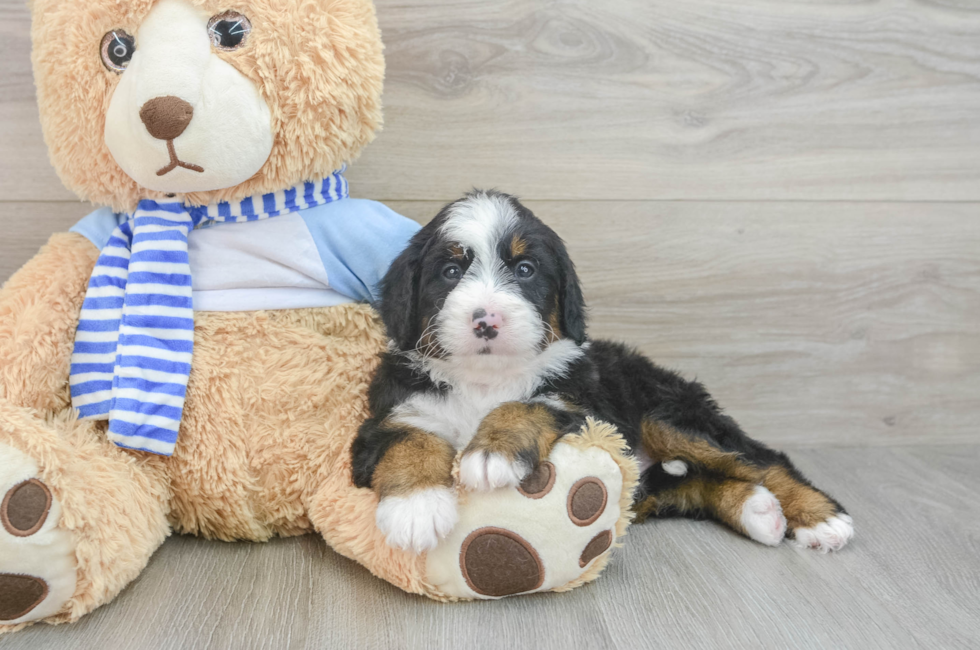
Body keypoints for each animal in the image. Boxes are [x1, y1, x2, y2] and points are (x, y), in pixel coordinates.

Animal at [350, 190, 848, 556]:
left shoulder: (584, 406)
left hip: (668, 414)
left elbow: (529, 403)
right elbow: (409, 440)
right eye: (451, 271)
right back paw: (758, 511)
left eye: (525, 269)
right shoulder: (390, 415)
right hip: (652, 483)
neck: (485, 380)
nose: (486, 320)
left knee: (763, 459)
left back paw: (821, 519)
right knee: (698, 484)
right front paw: (416, 508)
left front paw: (491, 453)